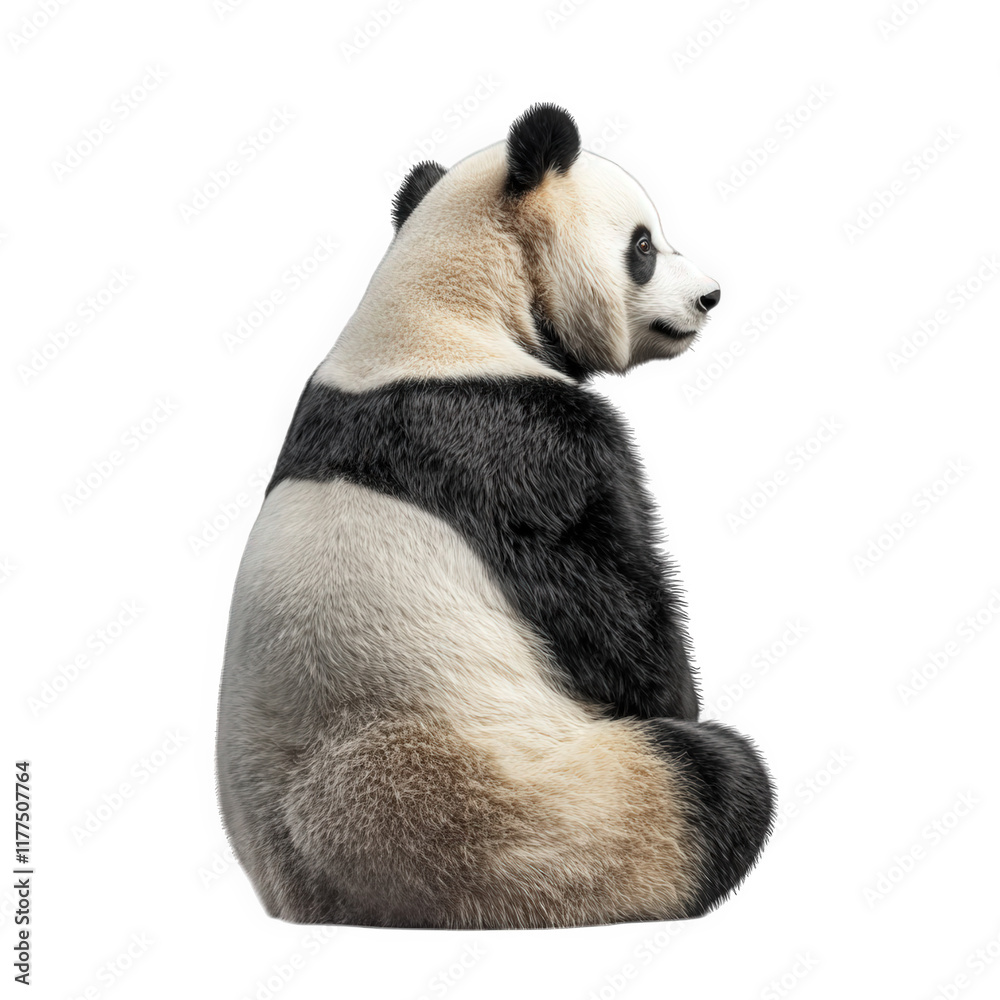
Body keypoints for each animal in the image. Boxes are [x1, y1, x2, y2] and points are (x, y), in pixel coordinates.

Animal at [216, 104, 774, 930]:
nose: (710, 297)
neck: (448, 305)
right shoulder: (521, 441)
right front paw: (678, 695)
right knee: (709, 786)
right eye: (643, 246)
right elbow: (606, 599)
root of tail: (321, 901)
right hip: (511, 810)